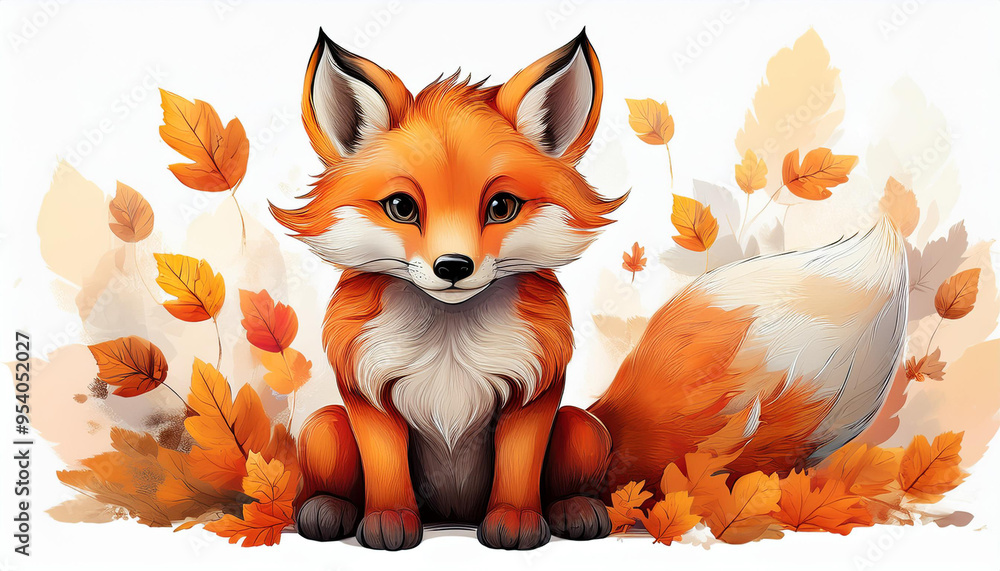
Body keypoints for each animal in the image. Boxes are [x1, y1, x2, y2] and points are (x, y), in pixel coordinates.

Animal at [269, 29, 909, 550]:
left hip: (580, 429)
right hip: (325, 427)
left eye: (501, 207)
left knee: (581, 487)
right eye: (402, 207)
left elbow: (519, 472)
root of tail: (451, 517)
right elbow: (387, 475)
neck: (450, 342)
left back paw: (576, 514)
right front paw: (388, 524)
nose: (453, 266)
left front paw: (515, 525)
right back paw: (329, 511)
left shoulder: (536, 390)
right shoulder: (367, 391)